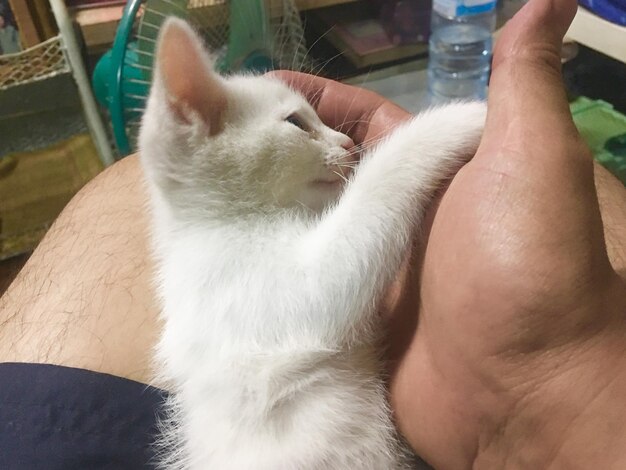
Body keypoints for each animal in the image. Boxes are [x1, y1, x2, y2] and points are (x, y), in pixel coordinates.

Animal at [139, 17, 486, 470]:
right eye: (296, 123)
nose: (347, 143)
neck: (209, 226)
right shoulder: (276, 291)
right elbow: (377, 186)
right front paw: (461, 117)